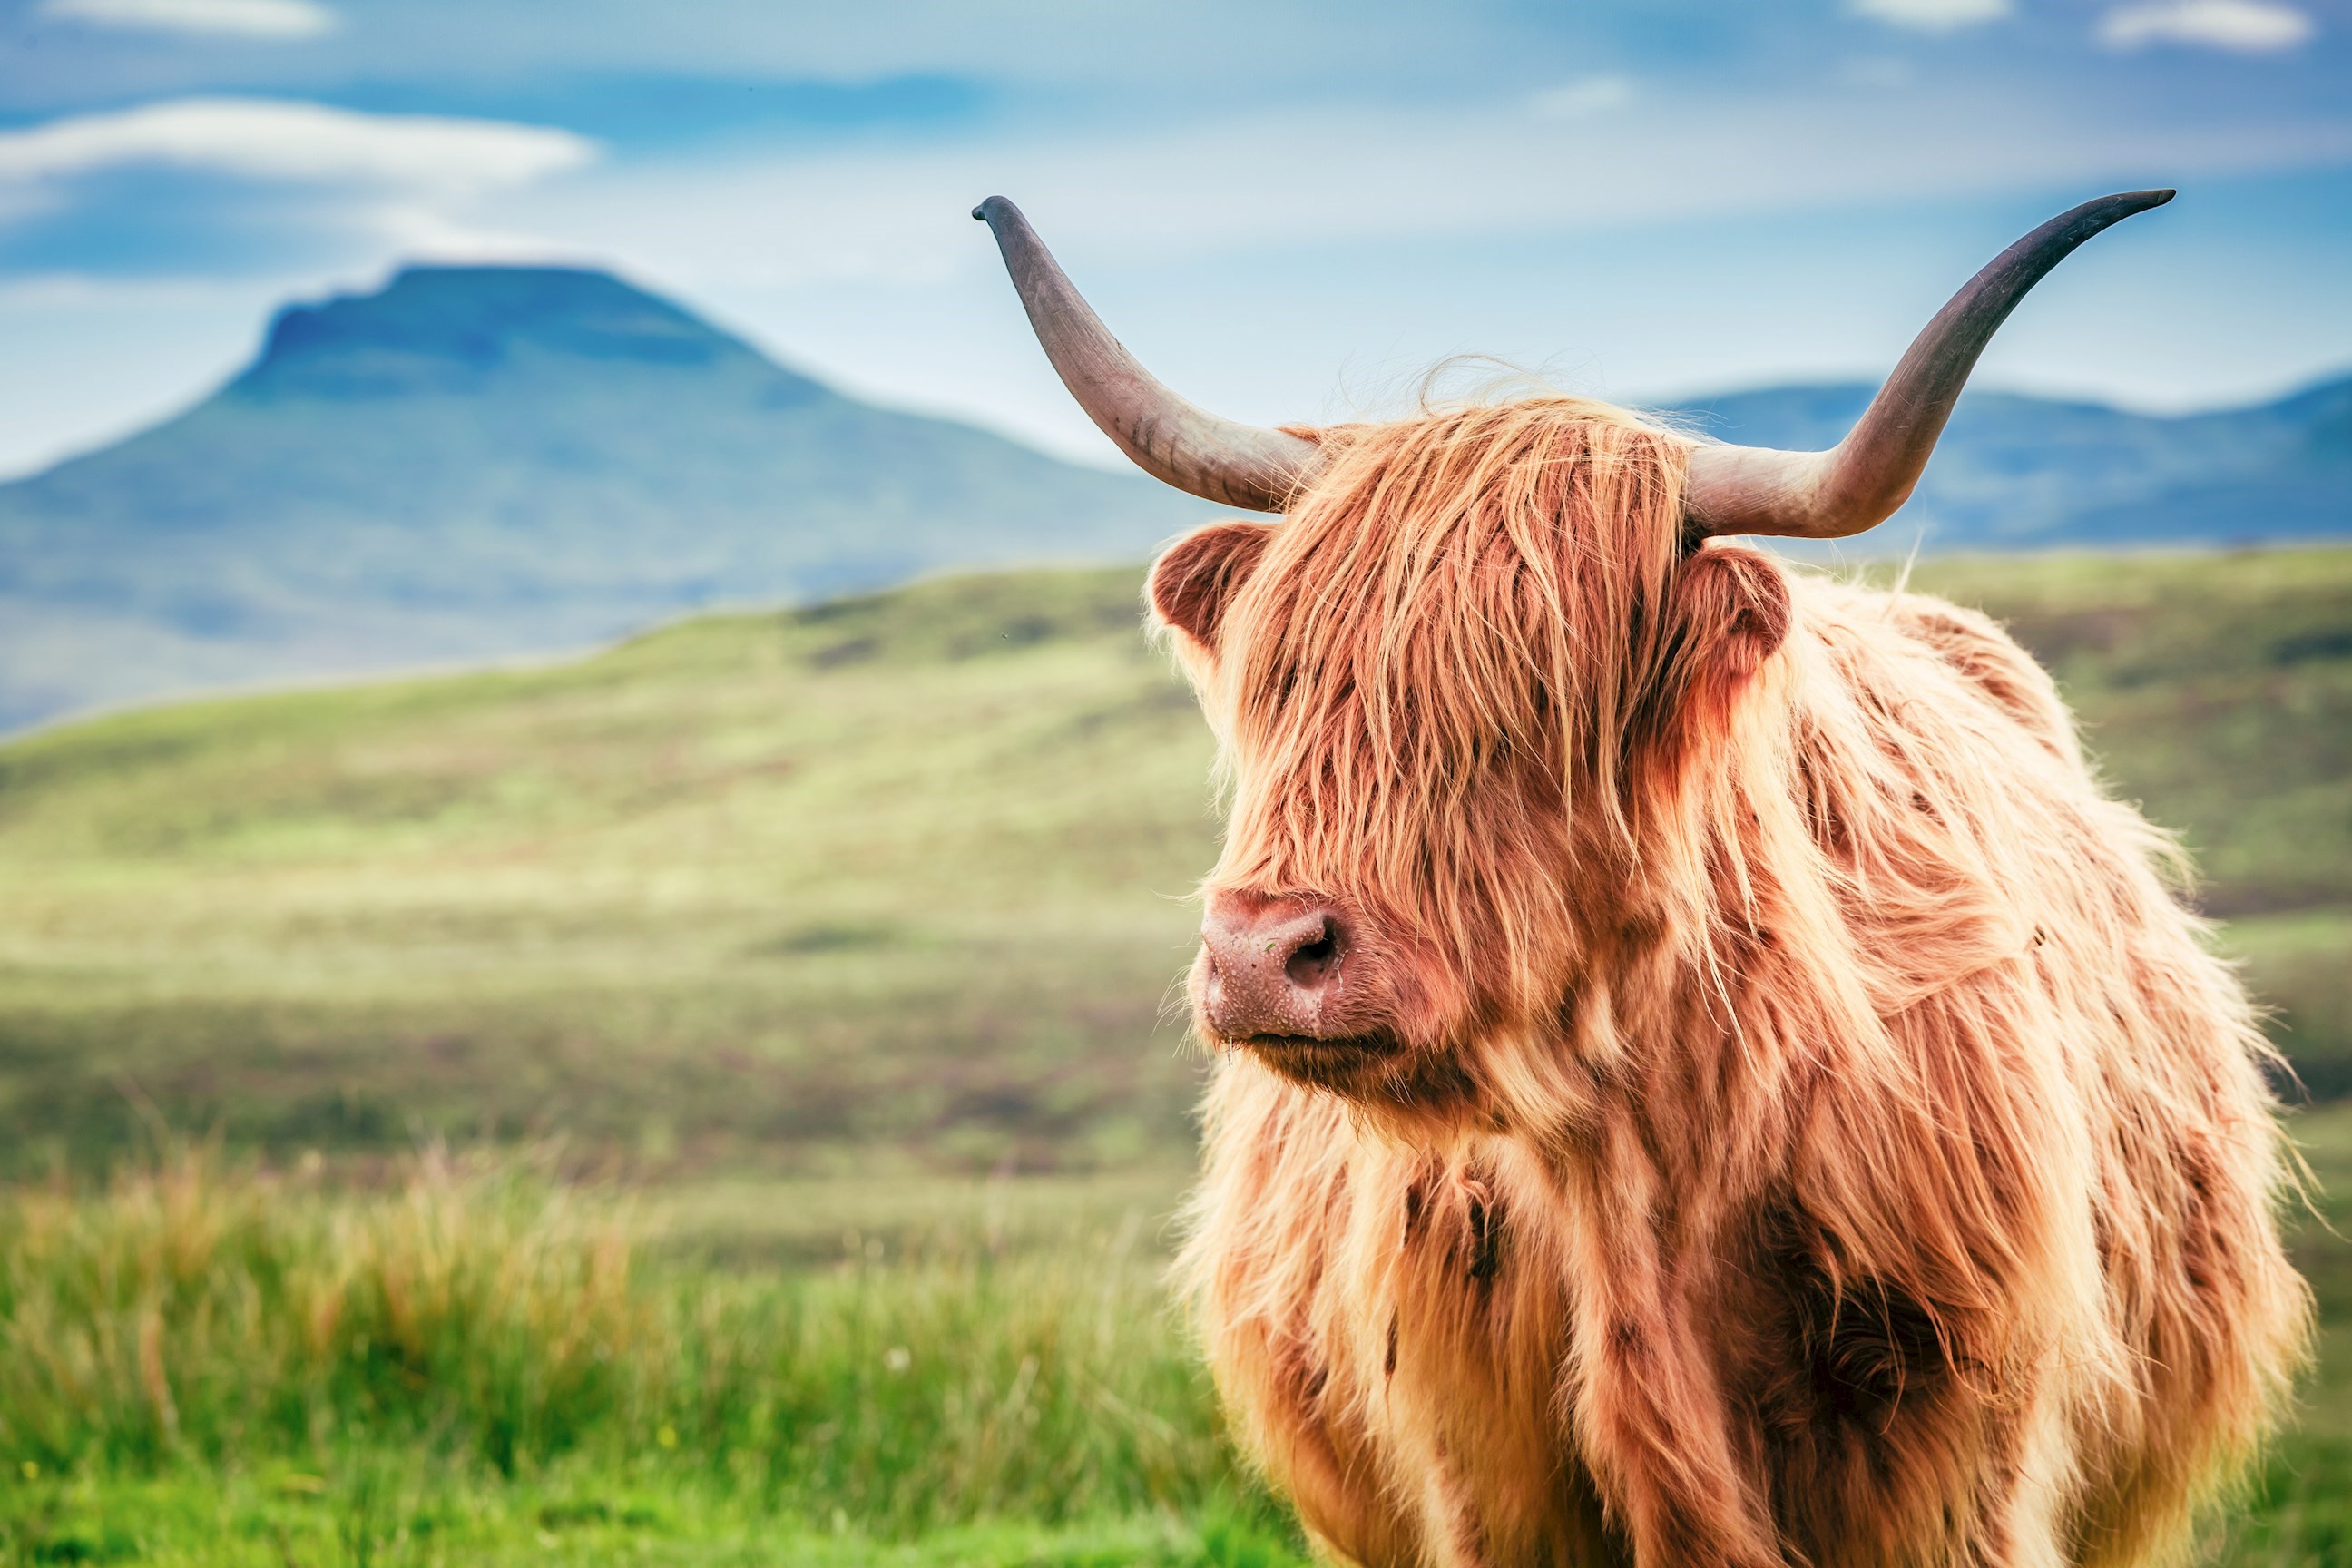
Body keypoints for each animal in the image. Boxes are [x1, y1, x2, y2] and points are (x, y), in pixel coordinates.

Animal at [974, 190, 2311, 1568]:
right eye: (1276, 679)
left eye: (1538, 690)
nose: (1261, 955)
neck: (1635, 1163)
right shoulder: (1478, 1477)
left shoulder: (1958, 1464)